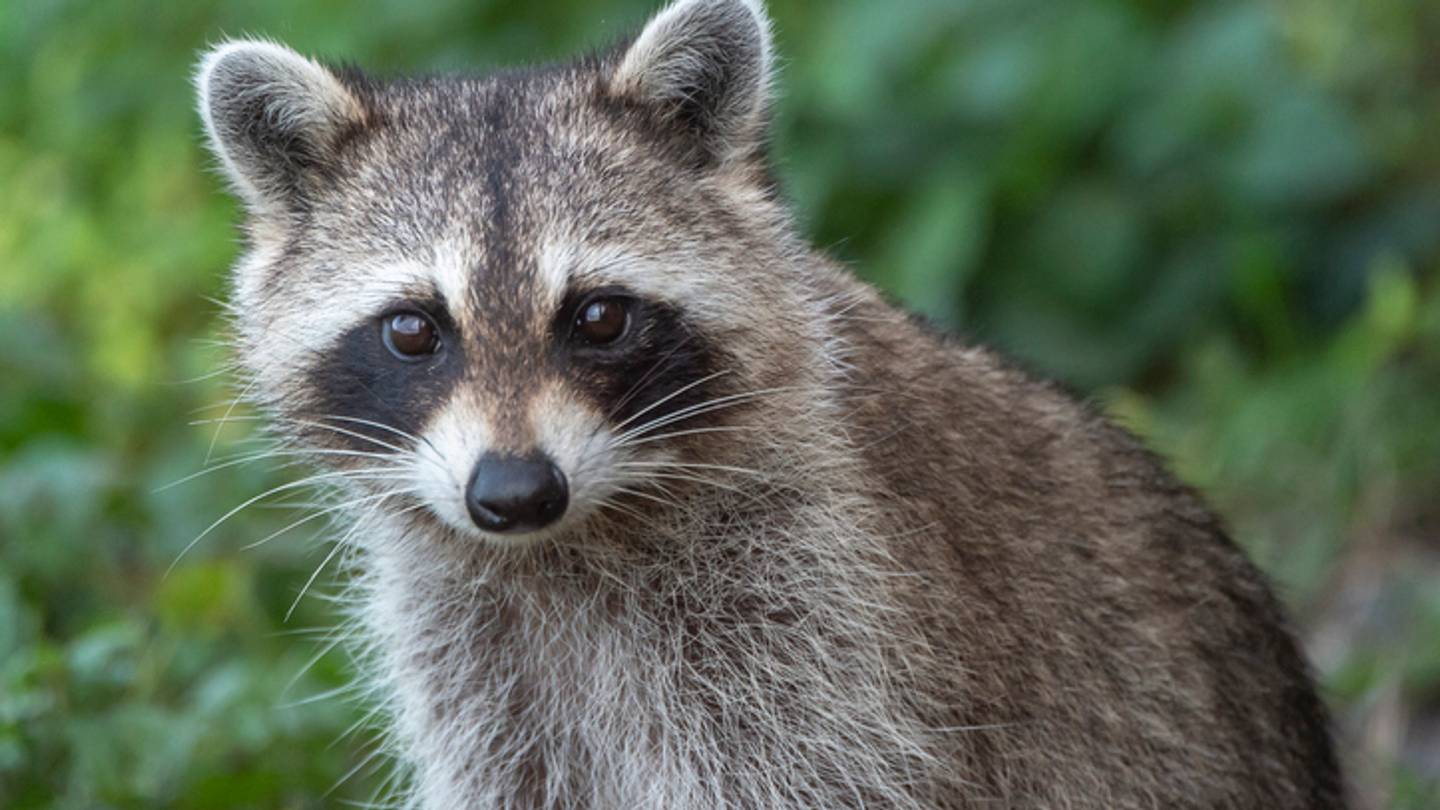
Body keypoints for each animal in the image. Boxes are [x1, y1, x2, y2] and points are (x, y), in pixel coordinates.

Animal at [195, 0, 1346, 807]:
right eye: (413, 331)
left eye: (599, 317)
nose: (515, 493)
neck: (569, 548)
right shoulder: (476, 664)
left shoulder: (827, 621)